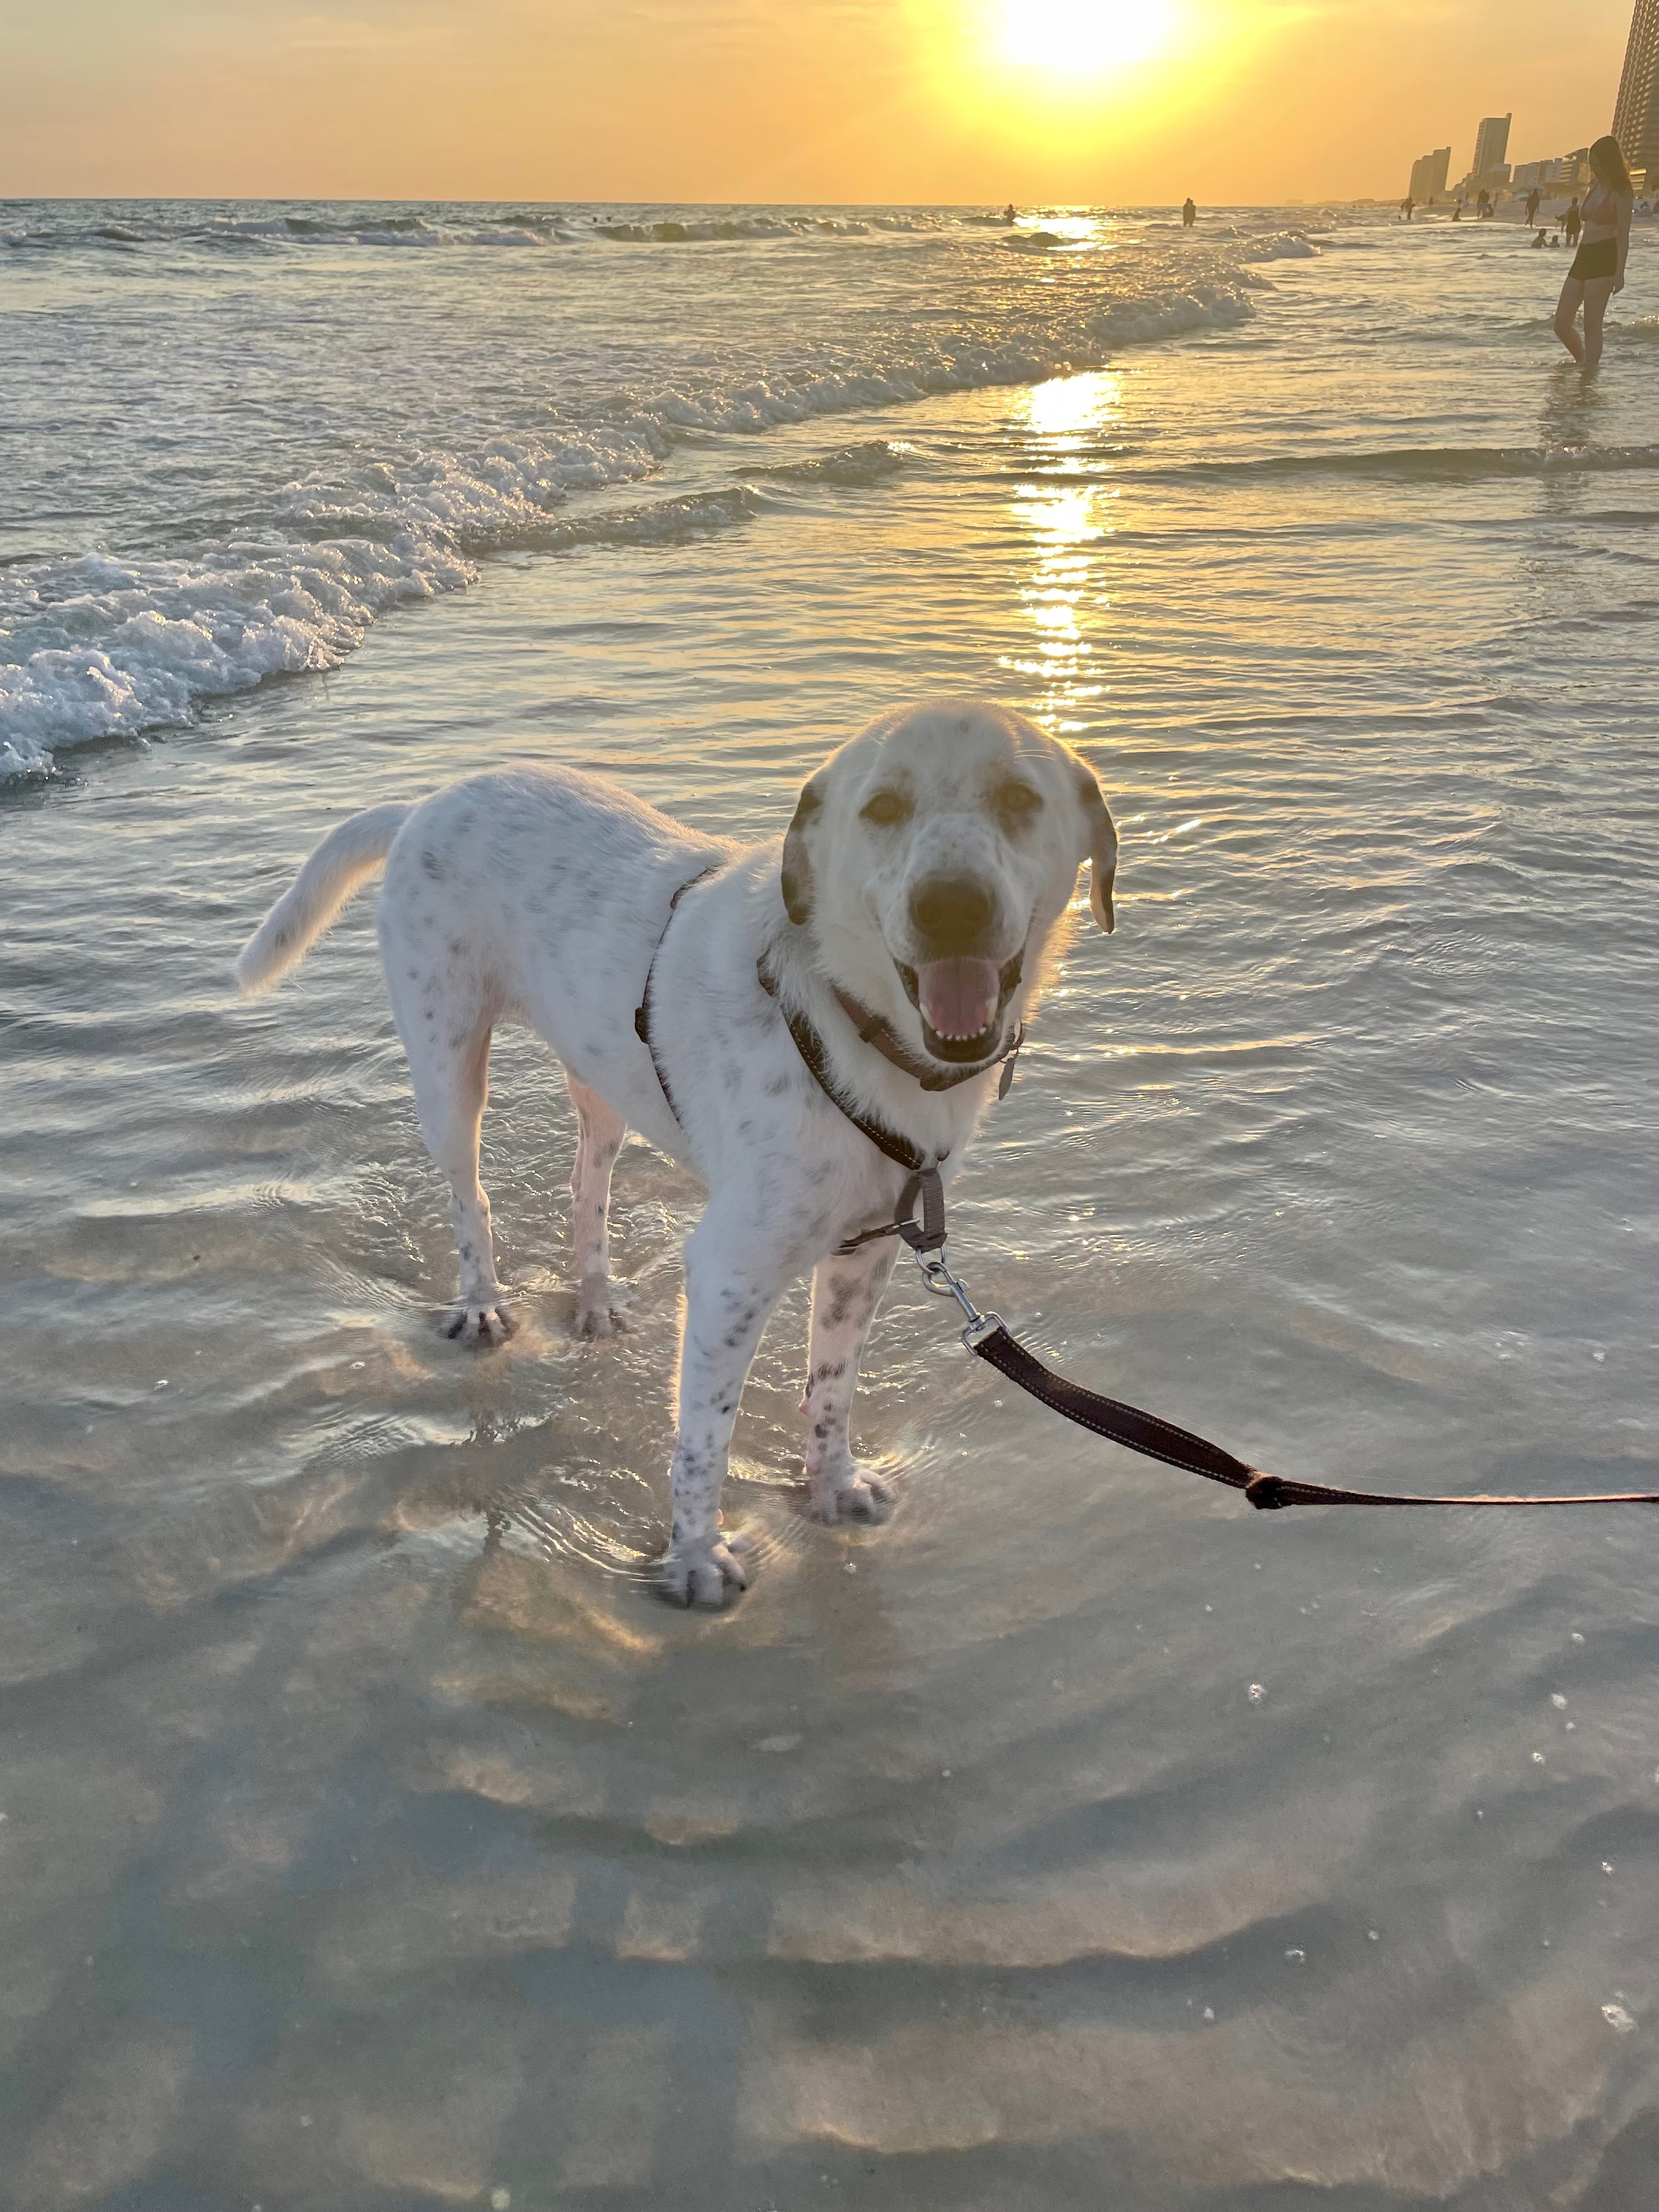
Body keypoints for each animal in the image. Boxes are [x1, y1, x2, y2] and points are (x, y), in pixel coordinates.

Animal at [234, 703, 1119, 1610]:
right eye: (881, 808)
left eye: (1019, 798)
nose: (953, 909)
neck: (858, 1024)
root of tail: (426, 804)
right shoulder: (731, 1273)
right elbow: (705, 1438)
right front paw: (693, 1559)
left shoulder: (862, 1253)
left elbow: (832, 1390)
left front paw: (831, 1487)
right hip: (448, 1071)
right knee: (468, 1197)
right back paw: (482, 1304)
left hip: (603, 1083)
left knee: (586, 1185)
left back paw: (594, 1299)